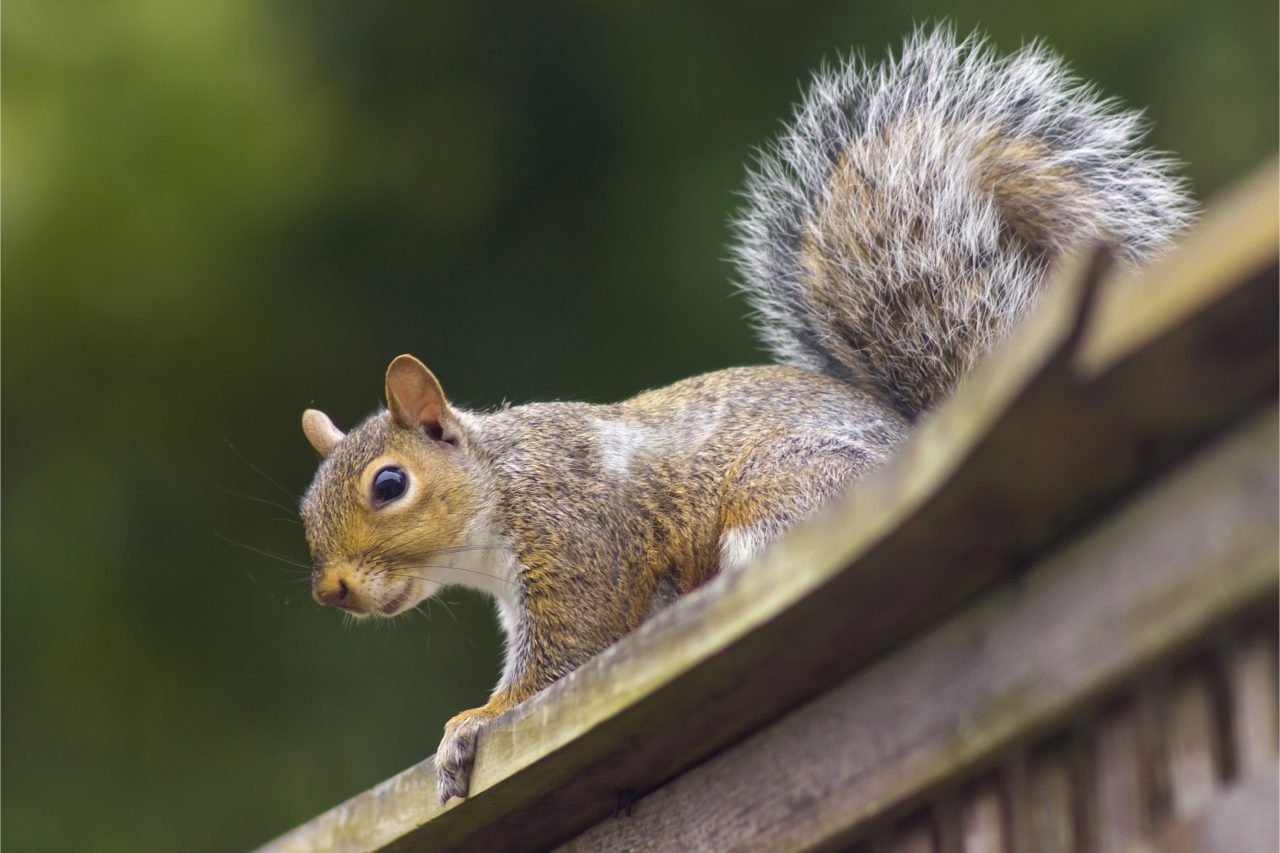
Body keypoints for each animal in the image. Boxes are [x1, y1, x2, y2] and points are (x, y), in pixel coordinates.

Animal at [297, 27, 1192, 804]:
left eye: (389, 484)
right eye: (306, 509)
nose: (331, 590)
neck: (499, 486)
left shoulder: (578, 541)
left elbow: (564, 656)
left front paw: (470, 724)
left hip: (781, 492)